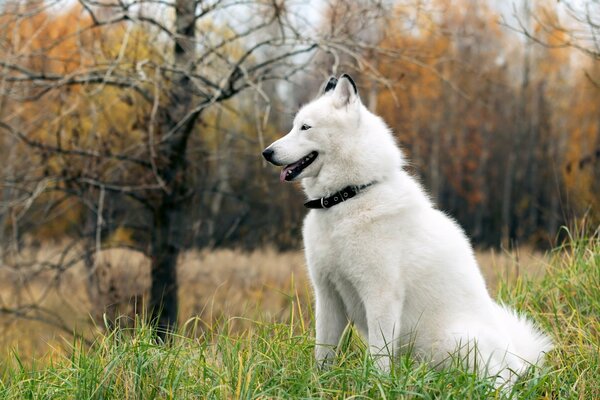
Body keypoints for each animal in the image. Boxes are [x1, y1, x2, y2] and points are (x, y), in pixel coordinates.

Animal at [262, 74, 552, 384]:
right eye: (294, 125)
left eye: (305, 127)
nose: (266, 153)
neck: (348, 197)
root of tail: (518, 362)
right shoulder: (328, 294)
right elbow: (323, 353)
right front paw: (319, 385)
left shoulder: (380, 295)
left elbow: (379, 356)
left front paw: (376, 386)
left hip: (456, 342)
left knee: (498, 384)